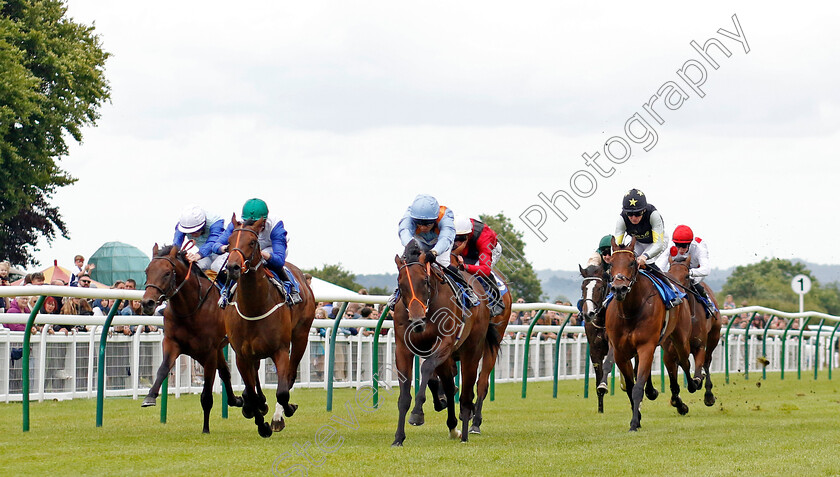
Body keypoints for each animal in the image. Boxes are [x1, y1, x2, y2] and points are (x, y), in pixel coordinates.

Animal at [141, 244, 243, 434]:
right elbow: (163, 369)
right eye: (147, 271)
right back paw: (237, 400)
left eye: (167, 273)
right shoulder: (172, 342)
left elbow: (207, 393)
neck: (191, 307)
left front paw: (205, 429)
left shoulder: (209, 352)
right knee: (225, 372)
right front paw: (150, 396)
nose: (147, 303)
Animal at [223, 215, 316, 436]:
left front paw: (282, 414)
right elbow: (251, 393)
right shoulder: (242, 355)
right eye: (229, 242)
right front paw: (261, 422)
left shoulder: (280, 350)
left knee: (290, 376)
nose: (232, 267)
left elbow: (282, 391)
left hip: (301, 336)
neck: (253, 308)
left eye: (252, 242)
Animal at [394, 240, 498, 444]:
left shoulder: (445, 343)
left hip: (472, 350)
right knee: (450, 387)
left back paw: (466, 431)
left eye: (424, 281)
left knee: (469, 392)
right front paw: (398, 438)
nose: (417, 321)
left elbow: (426, 367)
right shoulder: (402, 348)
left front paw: (417, 413)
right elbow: (404, 395)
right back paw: (453, 427)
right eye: (401, 285)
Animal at [608, 236, 700, 430]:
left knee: (684, 361)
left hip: (680, 337)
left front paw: (634, 423)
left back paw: (692, 386)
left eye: (632, 263)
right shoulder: (620, 352)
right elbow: (630, 386)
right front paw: (637, 417)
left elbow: (637, 387)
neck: (630, 311)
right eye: (611, 263)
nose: (619, 288)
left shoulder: (646, 346)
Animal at [668, 253, 724, 406]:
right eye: (669, 273)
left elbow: (699, 367)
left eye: (687, 276)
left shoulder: (699, 345)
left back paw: (708, 394)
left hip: (714, 336)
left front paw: (699, 382)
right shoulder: (672, 348)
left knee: (707, 360)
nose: (677, 292)